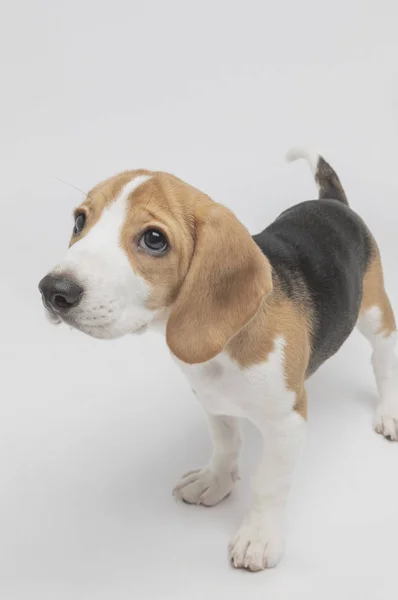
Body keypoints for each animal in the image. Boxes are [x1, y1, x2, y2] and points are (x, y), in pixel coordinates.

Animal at [38, 150, 398, 572]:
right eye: (80, 221)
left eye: (154, 239)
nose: (52, 290)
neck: (227, 343)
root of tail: (334, 203)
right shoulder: (211, 399)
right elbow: (226, 443)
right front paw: (216, 481)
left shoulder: (286, 423)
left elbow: (269, 483)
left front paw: (259, 537)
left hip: (373, 312)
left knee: (384, 359)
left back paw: (389, 412)